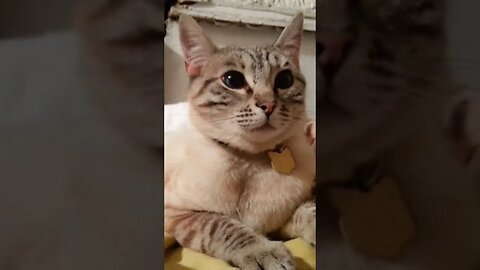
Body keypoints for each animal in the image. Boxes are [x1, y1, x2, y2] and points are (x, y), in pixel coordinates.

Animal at [163, 13, 316, 270]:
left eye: (284, 80)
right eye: (232, 80)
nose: (268, 105)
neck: (252, 161)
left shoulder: (283, 218)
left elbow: (309, 210)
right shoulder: (177, 213)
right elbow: (223, 225)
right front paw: (263, 250)